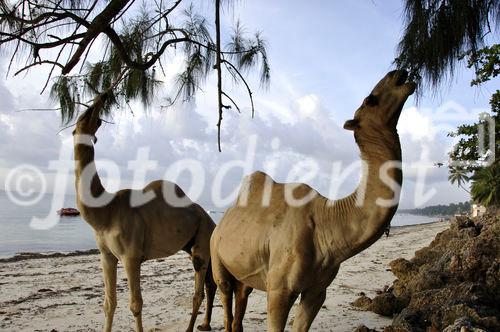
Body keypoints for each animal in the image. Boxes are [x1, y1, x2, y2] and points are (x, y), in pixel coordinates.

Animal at [72, 100, 217, 330]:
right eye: (84, 117)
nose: (97, 107)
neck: (105, 213)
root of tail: (212, 221)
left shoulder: (131, 257)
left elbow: (136, 304)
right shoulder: (106, 256)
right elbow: (109, 304)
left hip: (203, 238)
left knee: (199, 291)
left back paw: (190, 328)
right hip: (194, 245)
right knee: (211, 285)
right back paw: (204, 325)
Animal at [209, 69, 416, 330]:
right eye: (371, 100)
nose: (398, 72)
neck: (326, 221)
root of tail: (220, 223)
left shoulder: (318, 290)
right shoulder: (279, 288)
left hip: (245, 268)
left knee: (242, 296)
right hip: (216, 254)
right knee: (225, 295)